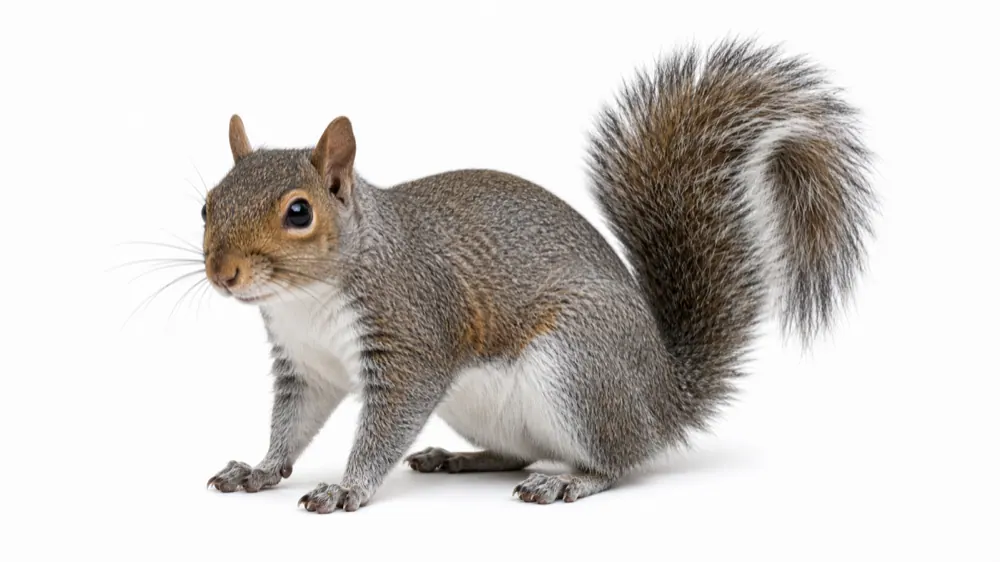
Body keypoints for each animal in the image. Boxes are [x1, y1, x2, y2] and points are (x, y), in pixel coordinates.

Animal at [201, 38, 876, 512]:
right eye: (207, 204)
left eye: (299, 212)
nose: (222, 273)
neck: (307, 298)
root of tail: (662, 399)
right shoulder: (306, 365)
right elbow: (292, 424)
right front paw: (260, 469)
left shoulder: (414, 336)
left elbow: (384, 425)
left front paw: (348, 488)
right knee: (518, 452)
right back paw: (459, 458)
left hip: (577, 366)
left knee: (616, 461)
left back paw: (569, 483)